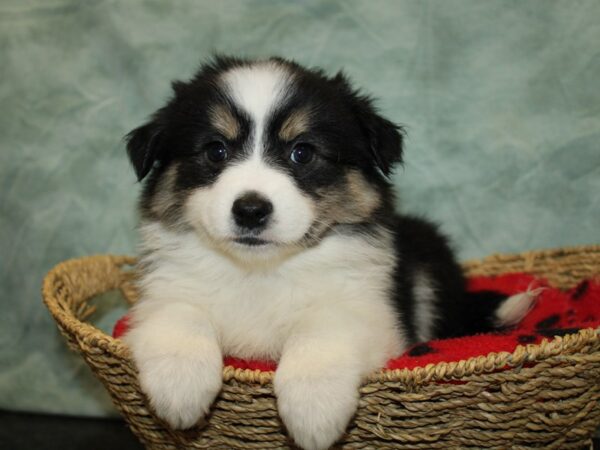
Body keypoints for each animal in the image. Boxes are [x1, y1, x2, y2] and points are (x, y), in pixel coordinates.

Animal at [123, 56, 536, 450]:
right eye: (215, 150)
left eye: (302, 153)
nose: (251, 210)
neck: (260, 270)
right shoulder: (165, 289)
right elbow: (181, 314)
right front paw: (180, 390)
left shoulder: (368, 309)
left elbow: (319, 330)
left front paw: (313, 414)